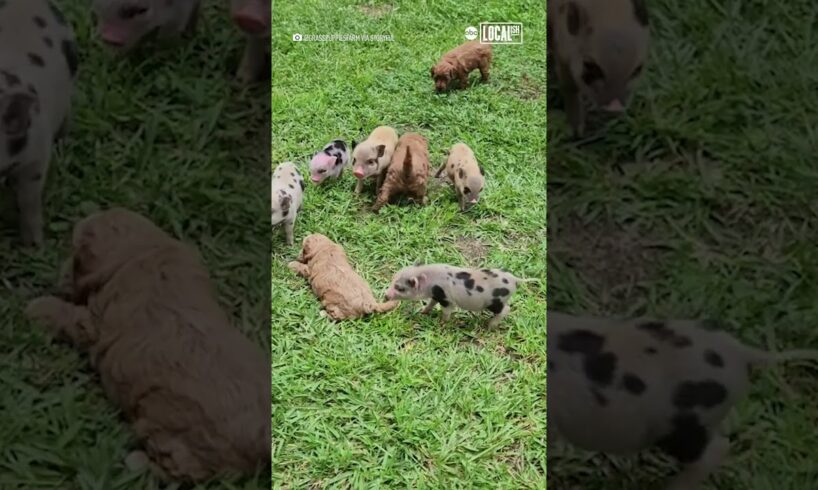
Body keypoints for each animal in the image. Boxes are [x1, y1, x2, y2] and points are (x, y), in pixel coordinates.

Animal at [24, 207, 268, 482]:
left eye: (74, 257)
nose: (60, 275)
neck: (145, 252)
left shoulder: (95, 322)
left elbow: (69, 317)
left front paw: (37, 308)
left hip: (181, 435)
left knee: (180, 469)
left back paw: (136, 462)